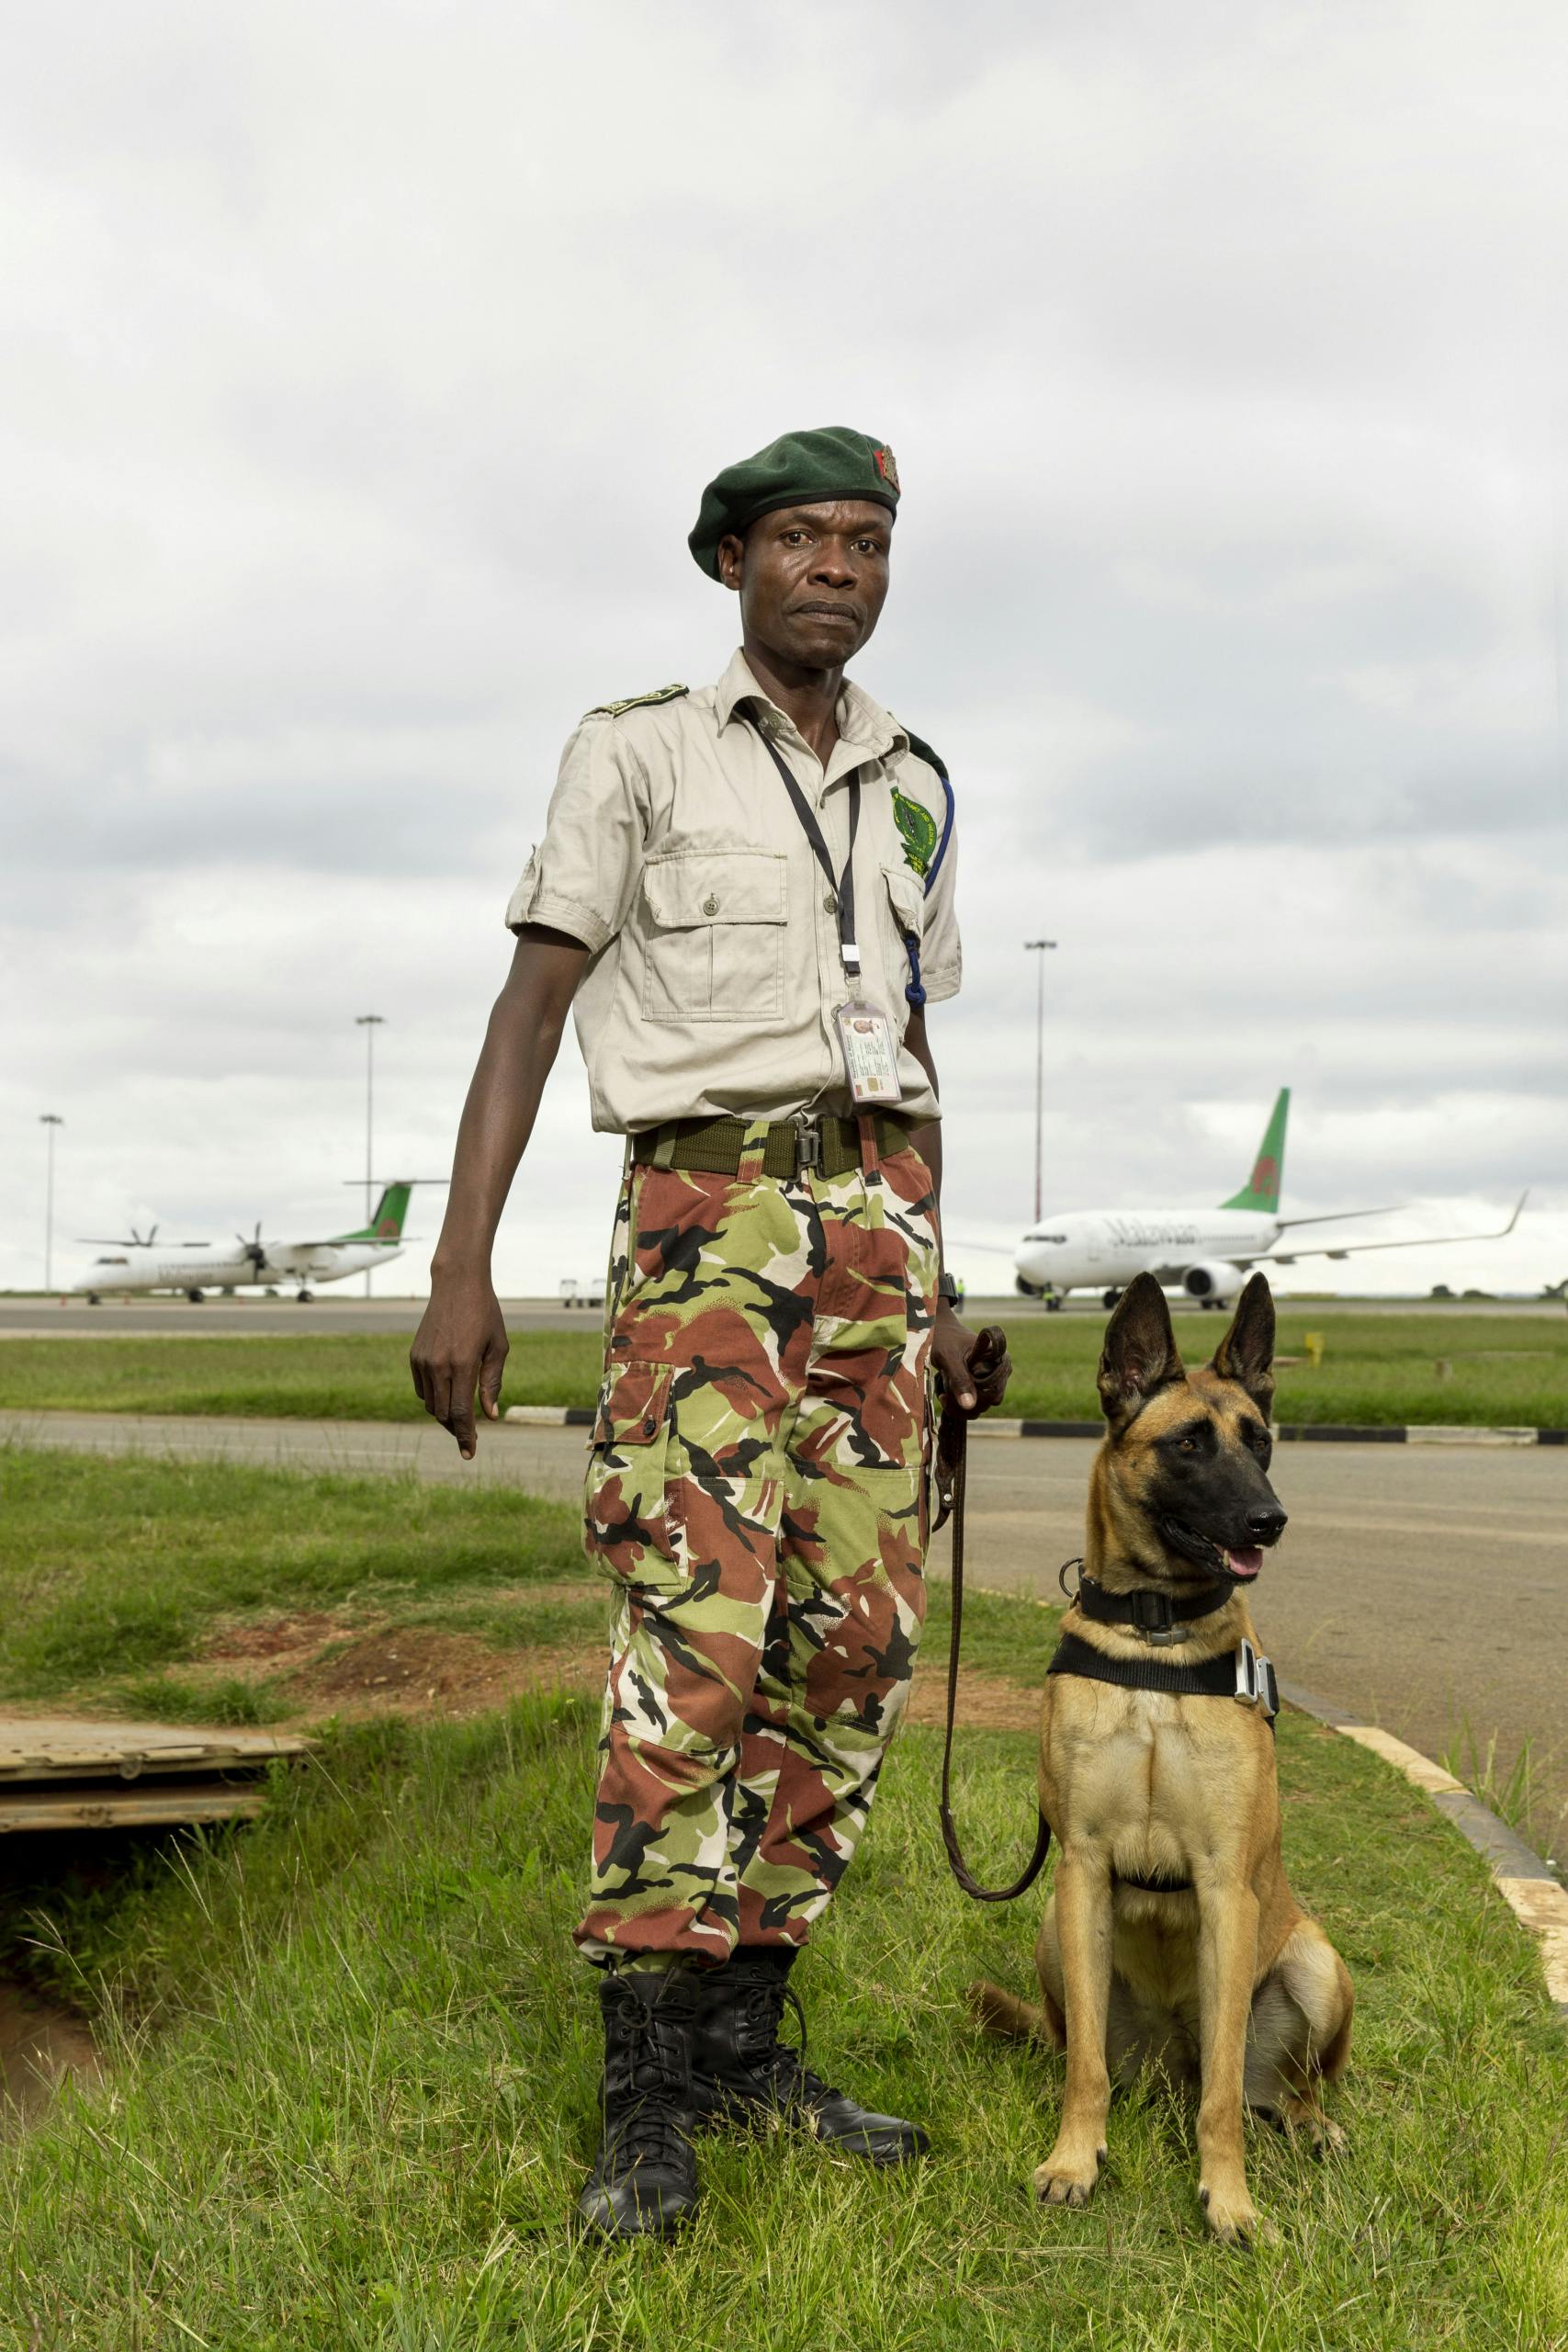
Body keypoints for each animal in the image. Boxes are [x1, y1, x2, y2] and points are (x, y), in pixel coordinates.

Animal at [968, 1270, 1354, 2239]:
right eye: (1187, 1444)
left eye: (1261, 1442)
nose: (1270, 1519)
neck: (1156, 1636)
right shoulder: (1080, 1871)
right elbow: (1084, 2071)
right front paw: (1074, 2160)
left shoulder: (1223, 1886)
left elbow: (1223, 2099)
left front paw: (1229, 2200)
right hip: (1053, 1938)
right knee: (1086, 2051)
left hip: (1315, 1964)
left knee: (1273, 2087)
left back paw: (1310, 2125)